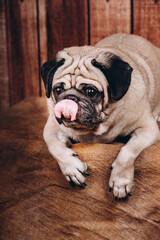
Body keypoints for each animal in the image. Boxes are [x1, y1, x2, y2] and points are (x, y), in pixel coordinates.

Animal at [41, 33, 160, 199]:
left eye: (91, 92)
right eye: (58, 90)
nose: (70, 97)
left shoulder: (148, 129)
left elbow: (128, 151)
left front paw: (120, 180)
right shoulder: (52, 128)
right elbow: (54, 147)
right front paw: (72, 168)